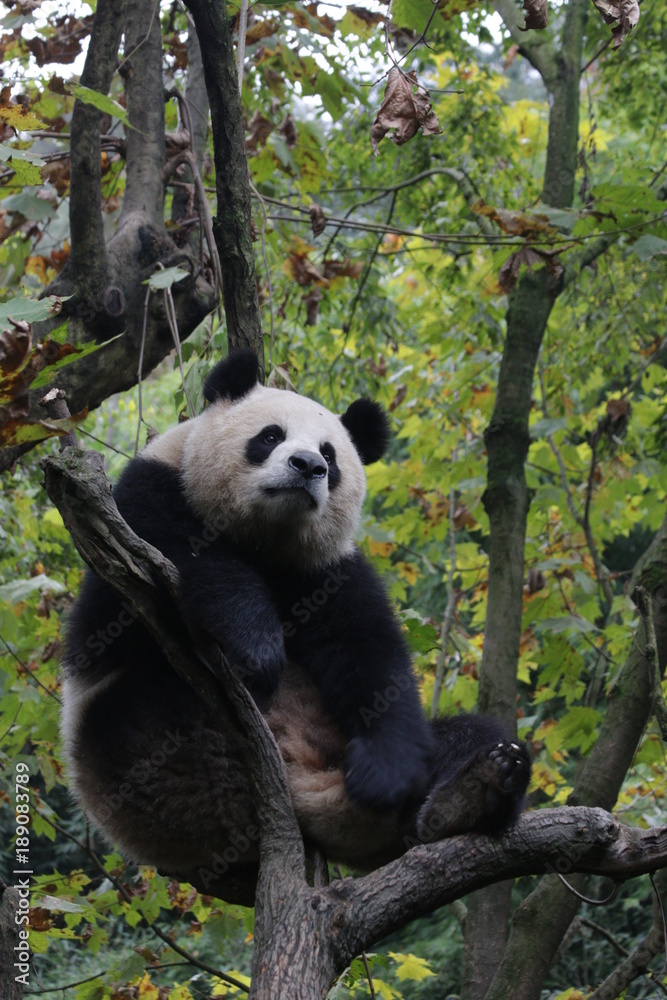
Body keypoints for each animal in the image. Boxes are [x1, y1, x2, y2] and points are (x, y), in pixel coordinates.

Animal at [60, 350, 530, 905]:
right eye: (270, 435)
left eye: (331, 453)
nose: (308, 466)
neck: (269, 536)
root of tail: (305, 787)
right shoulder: (144, 499)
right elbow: (187, 550)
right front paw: (256, 646)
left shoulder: (327, 571)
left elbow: (369, 656)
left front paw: (385, 772)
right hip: (139, 750)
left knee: (471, 735)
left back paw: (476, 790)